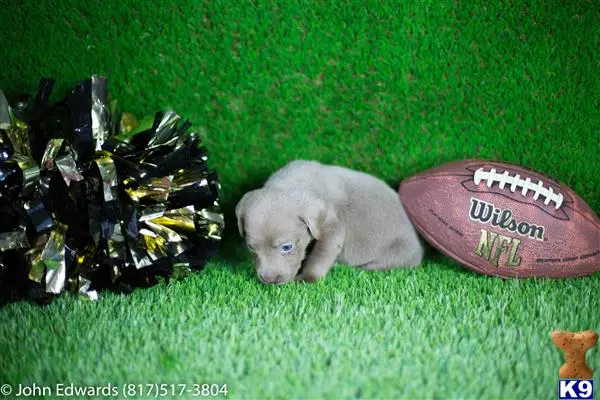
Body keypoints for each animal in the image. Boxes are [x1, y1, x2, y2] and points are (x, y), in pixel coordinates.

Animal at [234, 160, 422, 284]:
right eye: (251, 247)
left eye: (287, 247)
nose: (269, 279)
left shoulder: (332, 226)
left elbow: (321, 254)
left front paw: (307, 278)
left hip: (398, 253)